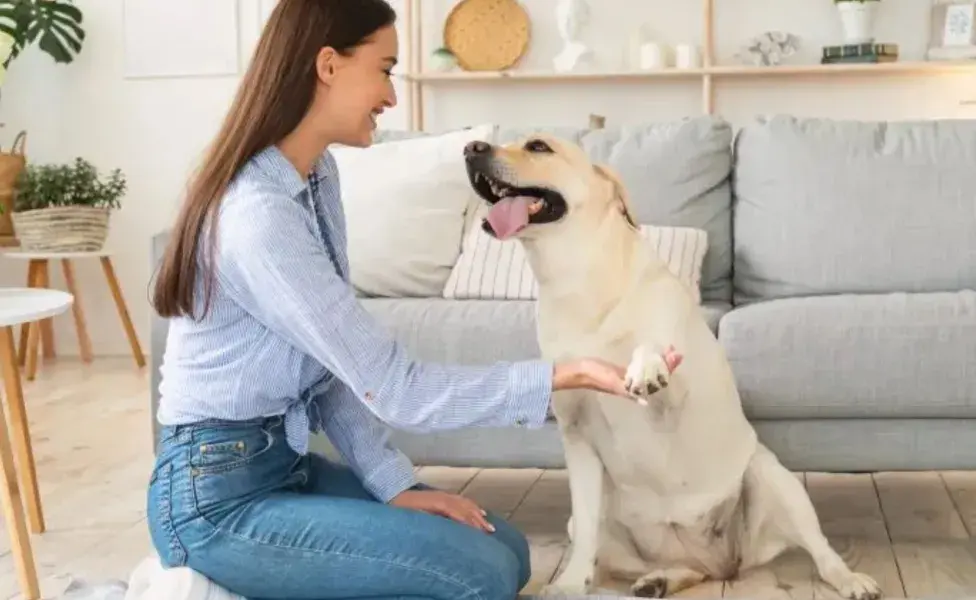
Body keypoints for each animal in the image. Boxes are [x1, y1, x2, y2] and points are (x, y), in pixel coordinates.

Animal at [462, 136, 880, 600]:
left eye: (538, 146)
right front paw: (569, 584)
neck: (578, 281)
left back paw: (851, 580)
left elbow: (651, 347)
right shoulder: (577, 438)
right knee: (675, 565)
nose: (471, 147)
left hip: (773, 478)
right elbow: (586, 529)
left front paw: (645, 367)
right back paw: (659, 579)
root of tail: (723, 563)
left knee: (821, 550)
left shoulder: (676, 401)